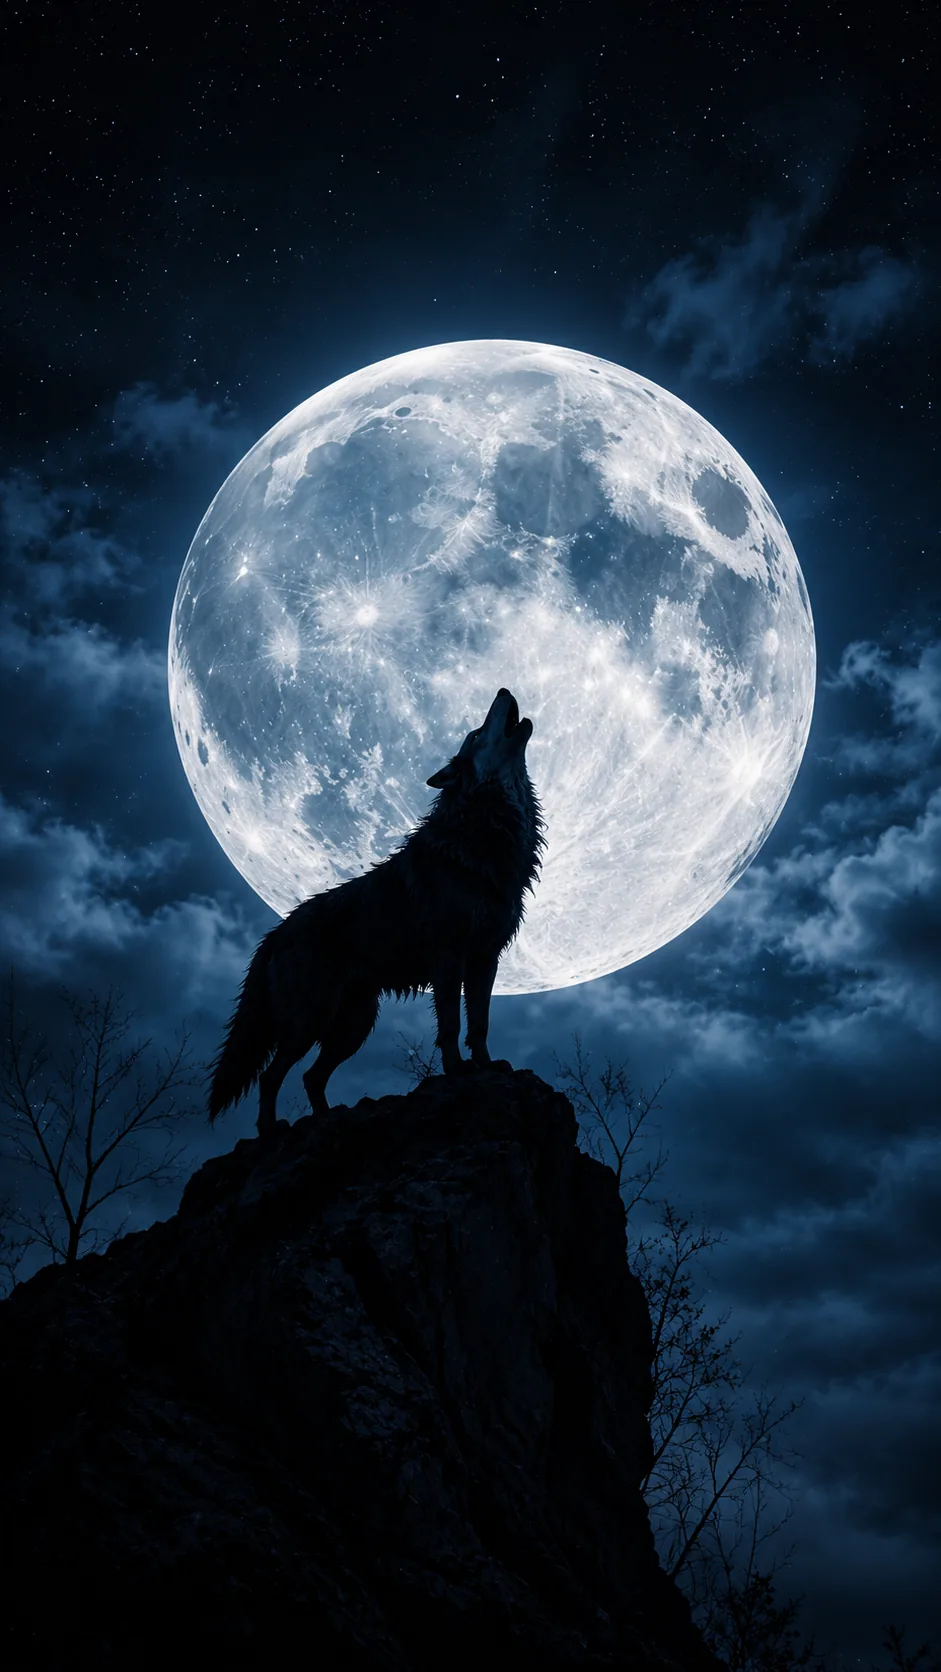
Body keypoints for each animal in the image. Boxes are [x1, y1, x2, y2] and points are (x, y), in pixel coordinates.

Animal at [208, 688, 544, 1135]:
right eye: (475, 734)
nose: (504, 690)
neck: (484, 832)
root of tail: (275, 933)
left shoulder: (485, 959)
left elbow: (480, 1023)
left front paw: (488, 1066)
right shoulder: (448, 957)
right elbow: (451, 1024)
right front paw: (457, 1070)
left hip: (354, 1024)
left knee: (310, 1077)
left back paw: (328, 1118)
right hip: (309, 1020)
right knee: (271, 1075)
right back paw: (270, 1129)